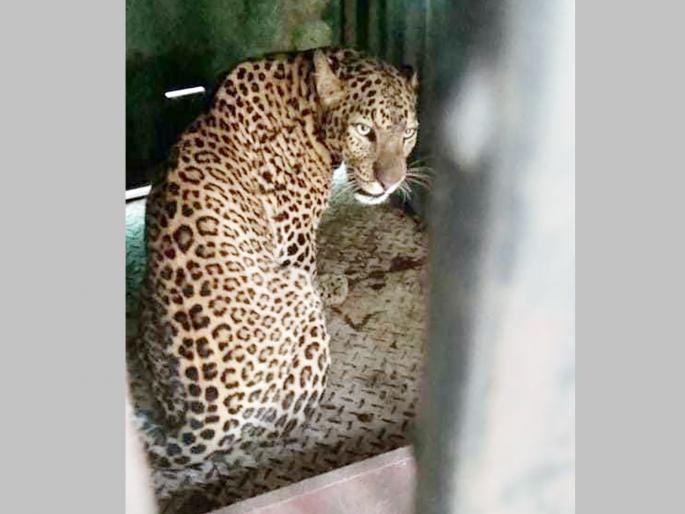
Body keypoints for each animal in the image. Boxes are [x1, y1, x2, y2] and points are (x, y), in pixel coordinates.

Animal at [130, 47, 419, 469]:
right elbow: (312, 268)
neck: (306, 99)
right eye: (365, 130)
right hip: (296, 298)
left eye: (409, 133)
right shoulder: (295, 240)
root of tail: (198, 424)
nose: (392, 182)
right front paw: (331, 285)